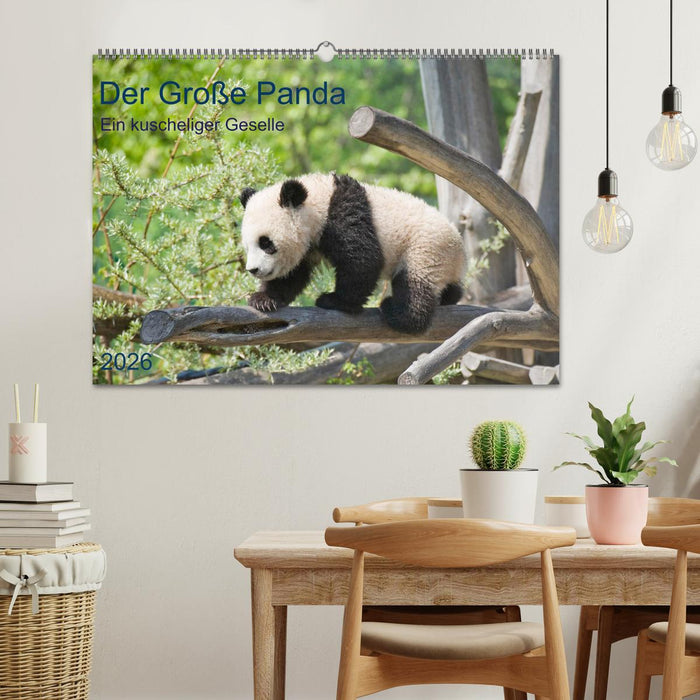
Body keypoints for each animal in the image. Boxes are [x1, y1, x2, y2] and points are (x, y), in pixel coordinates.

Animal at [239, 172, 466, 334]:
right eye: (248, 246)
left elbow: (362, 260)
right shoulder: (309, 244)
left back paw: (398, 313)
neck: (318, 201)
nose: (253, 270)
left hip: (425, 247)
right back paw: (449, 296)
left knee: (415, 284)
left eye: (266, 243)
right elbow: (293, 274)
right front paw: (264, 299)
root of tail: (459, 248)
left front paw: (334, 301)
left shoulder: (343, 216)